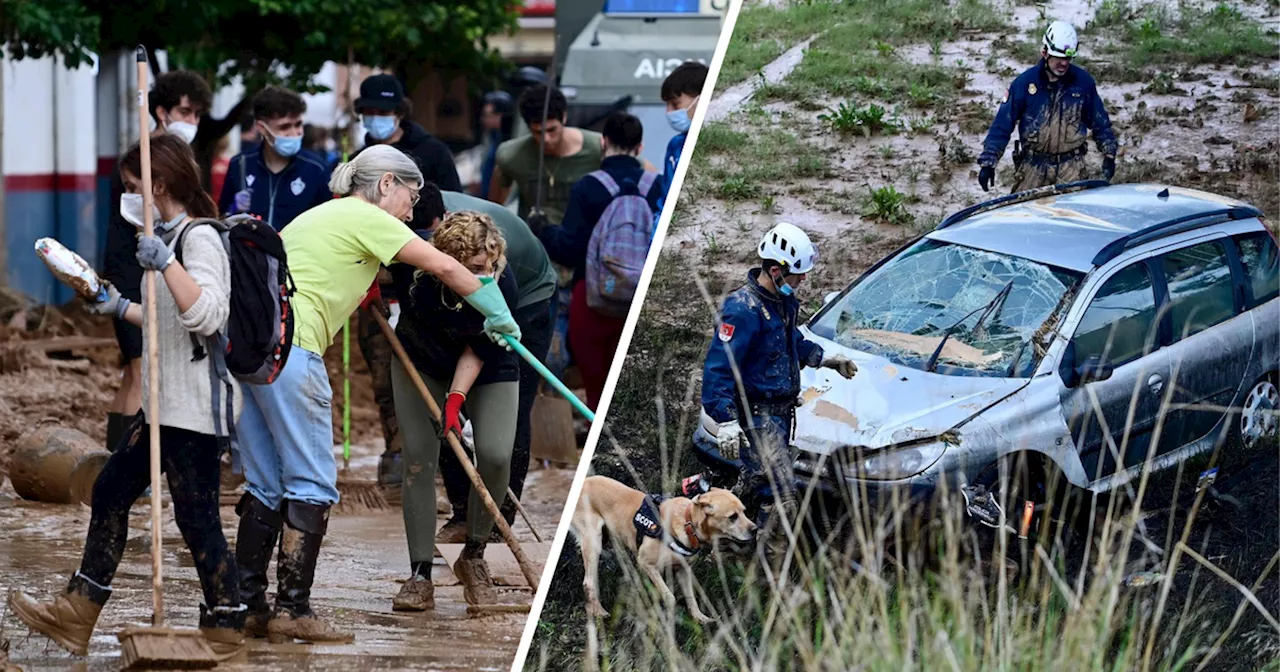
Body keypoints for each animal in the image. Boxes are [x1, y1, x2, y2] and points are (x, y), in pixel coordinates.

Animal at [568, 473, 752, 622]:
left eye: (744, 511)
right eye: (732, 517)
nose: (755, 529)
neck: (687, 523)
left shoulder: (683, 570)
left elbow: (690, 596)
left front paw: (700, 617)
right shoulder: (646, 563)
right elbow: (669, 597)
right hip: (594, 540)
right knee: (588, 582)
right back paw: (598, 611)